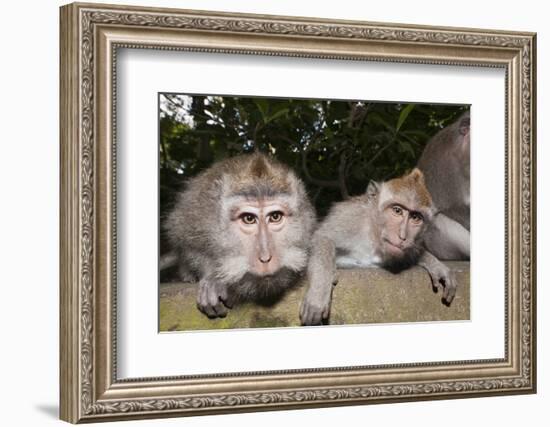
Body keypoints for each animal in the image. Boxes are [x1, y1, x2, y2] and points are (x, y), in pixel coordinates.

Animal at [161, 152, 314, 320]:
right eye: (248, 218)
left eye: (275, 217)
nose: (265, 258)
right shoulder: (197, 219)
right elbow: (190, 246)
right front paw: (213, 278)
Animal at [302, 169, 458, 326]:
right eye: (397, 210)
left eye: (415, 217)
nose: (402, 236)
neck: (374, 234)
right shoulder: (350, 217)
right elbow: (322, 237)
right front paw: (319, 293)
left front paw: (435, 264)